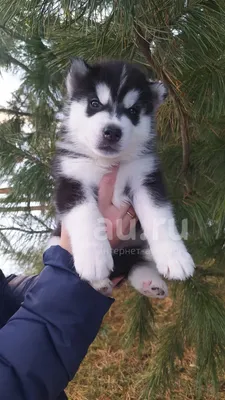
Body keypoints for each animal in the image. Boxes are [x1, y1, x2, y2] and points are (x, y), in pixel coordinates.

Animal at [50, 59, 194, 296]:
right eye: (94, 104)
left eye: (133, 110)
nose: (112, 132)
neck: (108, 162)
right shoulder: (71, 179)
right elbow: (85, 214)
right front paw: (94, 259)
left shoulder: (146, 179)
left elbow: (159, 217)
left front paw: (176, 257)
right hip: (54, 239)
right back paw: (100, 283)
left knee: (136, 263)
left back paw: (150, 284)